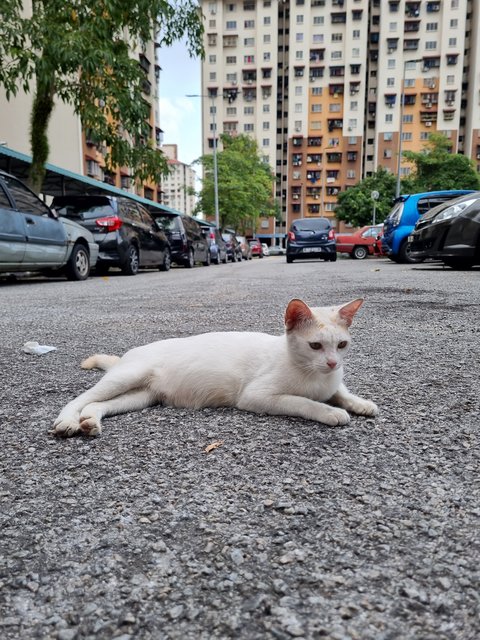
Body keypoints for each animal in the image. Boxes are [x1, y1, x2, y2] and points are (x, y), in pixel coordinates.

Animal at [53, 298, 378, 438]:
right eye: (315, 346)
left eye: (342, 345)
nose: (333, 363)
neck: (314, 376)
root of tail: (127, 355)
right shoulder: (256, 396)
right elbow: (304, 402)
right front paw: (331, 411)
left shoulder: (334, 381)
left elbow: (342, 391)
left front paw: (360, 403)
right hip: (126, 376)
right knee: (81, 399)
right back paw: (68, 422)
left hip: (140, 396)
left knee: (96, 405)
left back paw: (90, 423)